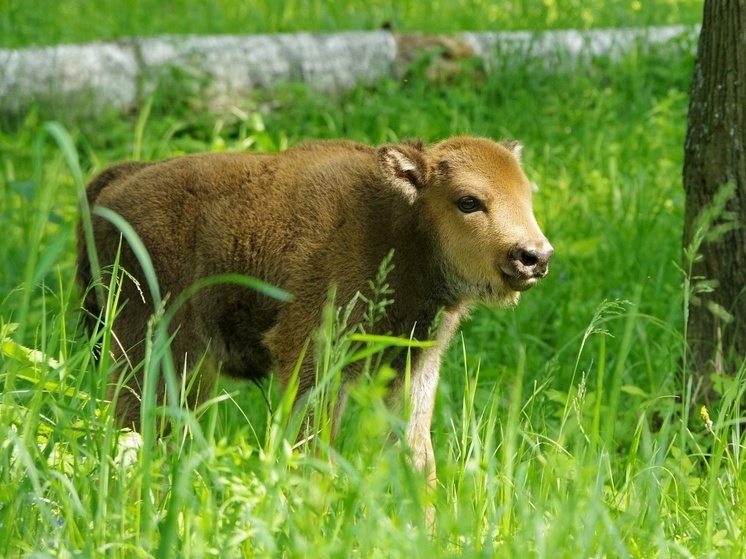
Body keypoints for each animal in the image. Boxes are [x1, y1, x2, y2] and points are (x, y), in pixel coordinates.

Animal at [75, 137, 552, 486]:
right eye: (468, 201)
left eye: (527, 196)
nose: (534, 256)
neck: (398, 228)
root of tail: (112, 187)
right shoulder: (310, 357)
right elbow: (313, 449)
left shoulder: (413, 364)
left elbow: (418, 457)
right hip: (149, 350)